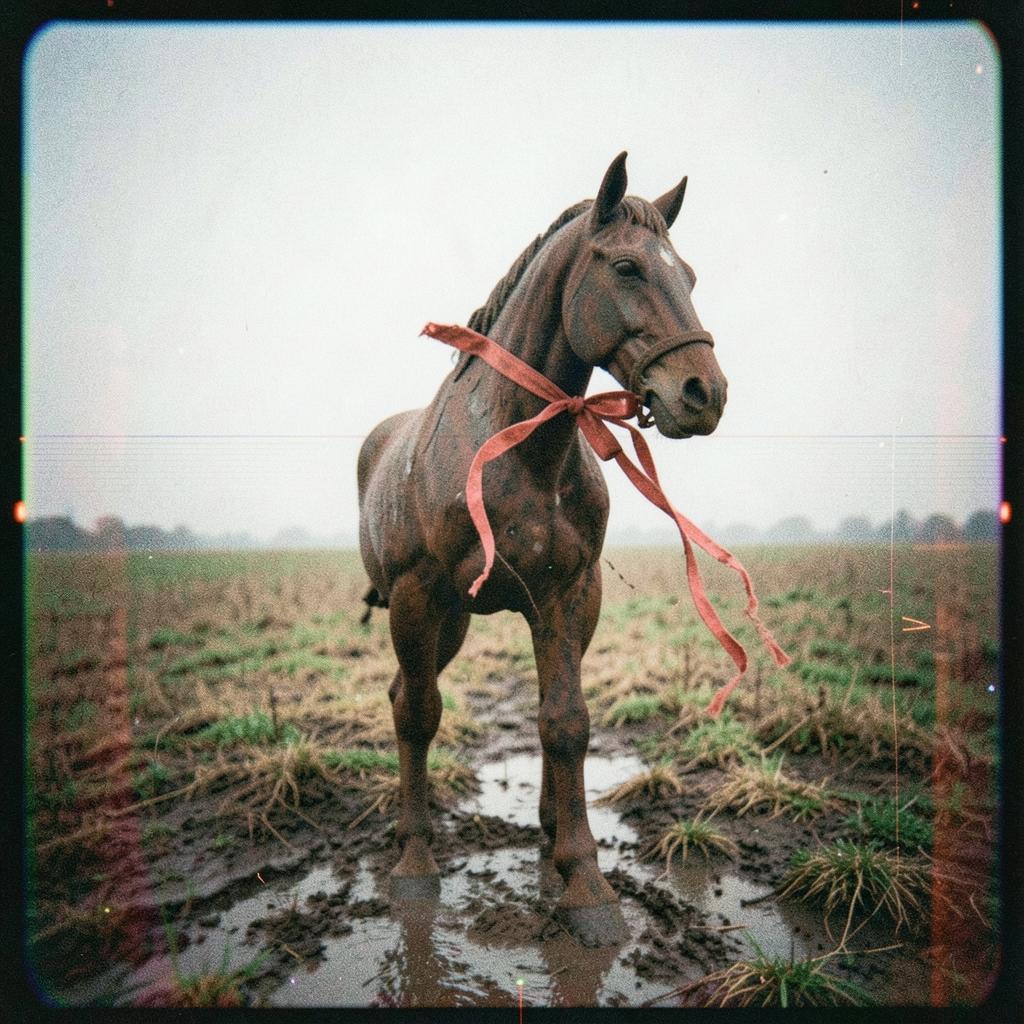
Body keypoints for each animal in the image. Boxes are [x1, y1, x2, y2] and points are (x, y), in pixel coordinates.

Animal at [357, 152, 730, 946]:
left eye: (688, 275)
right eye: (626, 267)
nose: (703, 392)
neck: (516, 445)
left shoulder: (567, 592)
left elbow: (565, 721)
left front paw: (583, 880)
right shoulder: (419, 594)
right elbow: (422, 716)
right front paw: (415, 867)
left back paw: (549, 826)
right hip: (427, 616)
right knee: (409, 699)